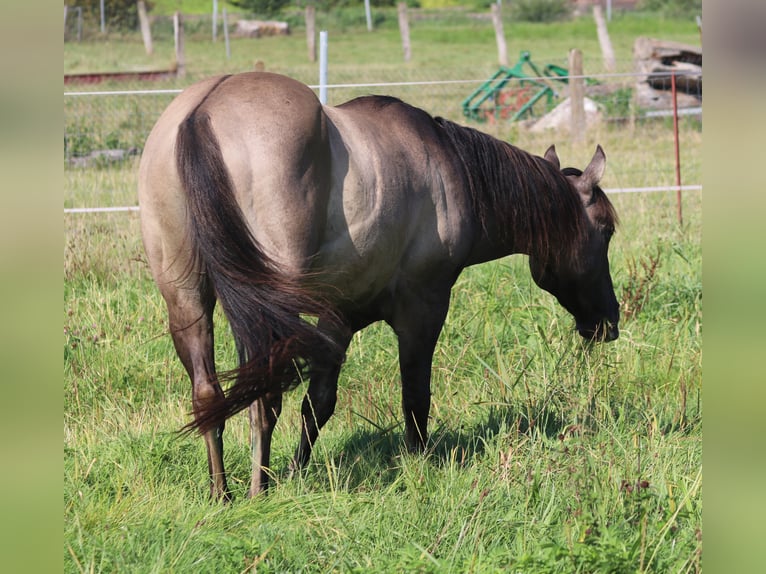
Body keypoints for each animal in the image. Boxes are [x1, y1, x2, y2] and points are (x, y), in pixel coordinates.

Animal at [136, 73, 616, 504]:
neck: (452, 169)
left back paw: (222, 494)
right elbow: (414, 395)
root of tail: (202, 113)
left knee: (210, 394)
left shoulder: (339, 315)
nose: (609, 321)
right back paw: (258, 491)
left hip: (189, 300)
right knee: (264, 393)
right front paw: (419, 464)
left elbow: (318, 403)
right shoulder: (423, 308)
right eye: (607, 230)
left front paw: (295, 473)